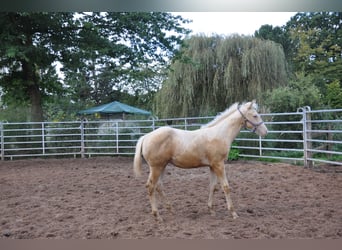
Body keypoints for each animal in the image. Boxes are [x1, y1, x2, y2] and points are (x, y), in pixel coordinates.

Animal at [133, 99, 268, 221]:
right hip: (156, 167)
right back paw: (157, 215)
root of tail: (146, 136)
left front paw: (211, 210)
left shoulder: (212, 166)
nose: (266, 131)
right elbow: (226, 187)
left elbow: (213, 187)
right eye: (255, 115)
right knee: (151, 186)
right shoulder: (219, 165)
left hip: (163, 166)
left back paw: (171, 210)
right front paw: (233, 213)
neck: (220, 134)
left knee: (159, 186)